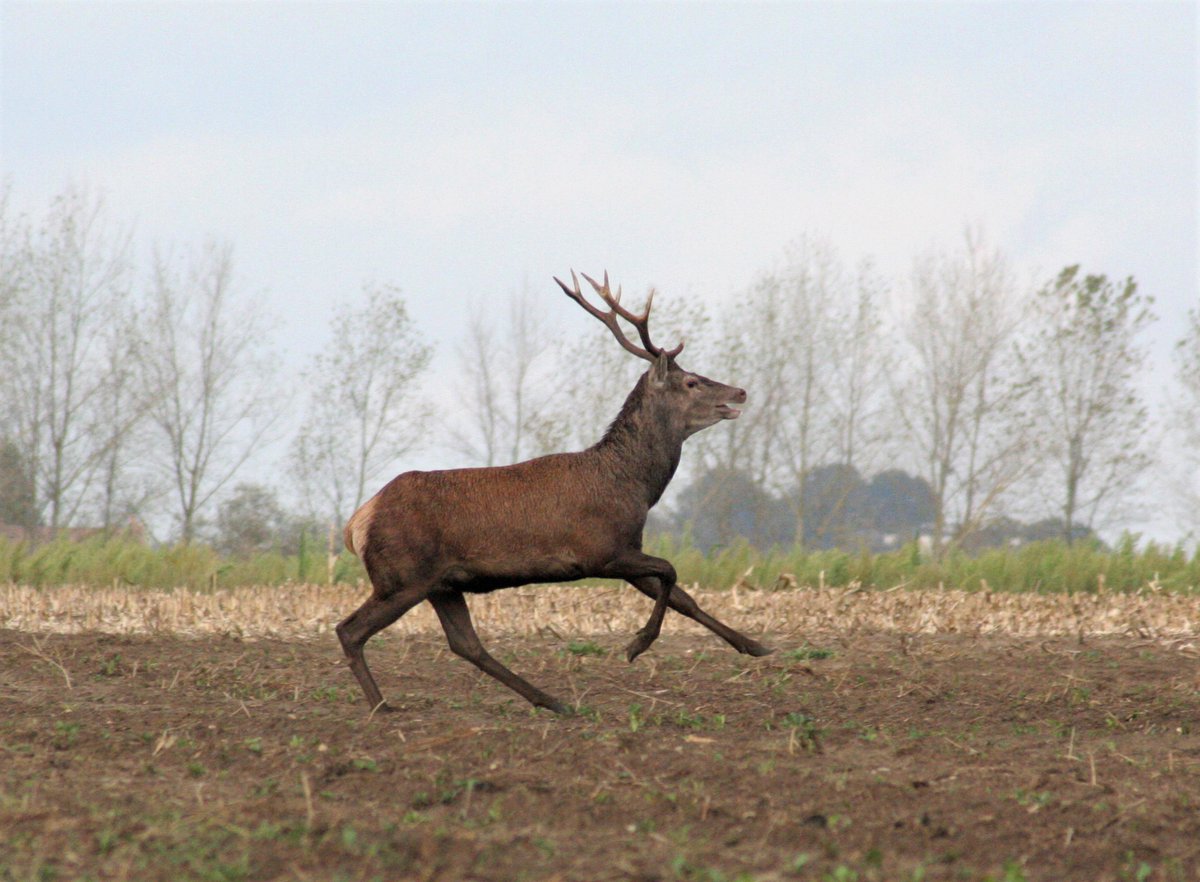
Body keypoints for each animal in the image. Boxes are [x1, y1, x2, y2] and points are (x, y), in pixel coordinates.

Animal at [337, 271, 773, 714]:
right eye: (691, 381)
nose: (740, 392)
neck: (635, 487)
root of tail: (357, 522)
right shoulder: (601, 550)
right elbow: (671, 571)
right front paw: (636, 645)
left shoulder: (625, 549)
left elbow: (685, 598)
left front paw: (755, 645)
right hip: (402, 575)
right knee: (350, 630)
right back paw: (381, 706)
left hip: (441, 583)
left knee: (466, 644)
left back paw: (550, 700)